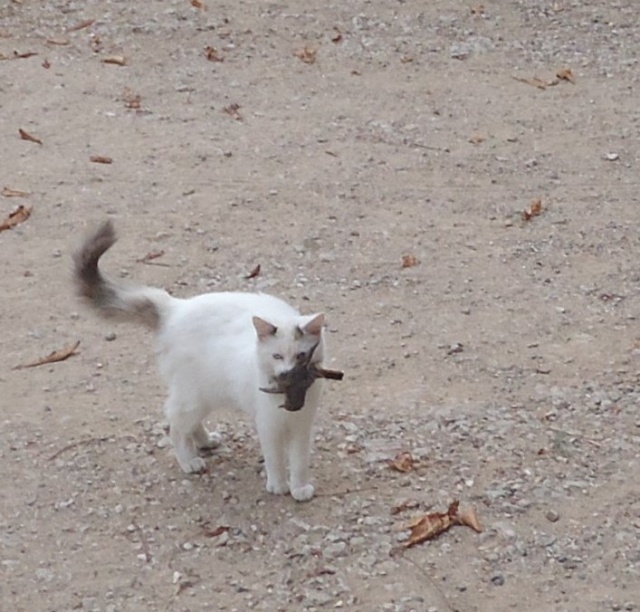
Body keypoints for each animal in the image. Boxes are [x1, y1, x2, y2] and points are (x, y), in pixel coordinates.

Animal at [72, 222, 328, 500]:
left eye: (301, 356)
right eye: (277, 356)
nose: (286, 373)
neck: (290, 396)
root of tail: (174, 307)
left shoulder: (302, 426)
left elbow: (299, 461)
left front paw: (299, 488)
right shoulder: (268, 424)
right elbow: (275, 459)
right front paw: (279, 486)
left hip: (206, 395)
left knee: (190, 424)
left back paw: (206, 442)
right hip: (194, 395)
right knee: (175, 423)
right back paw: (190, 461)